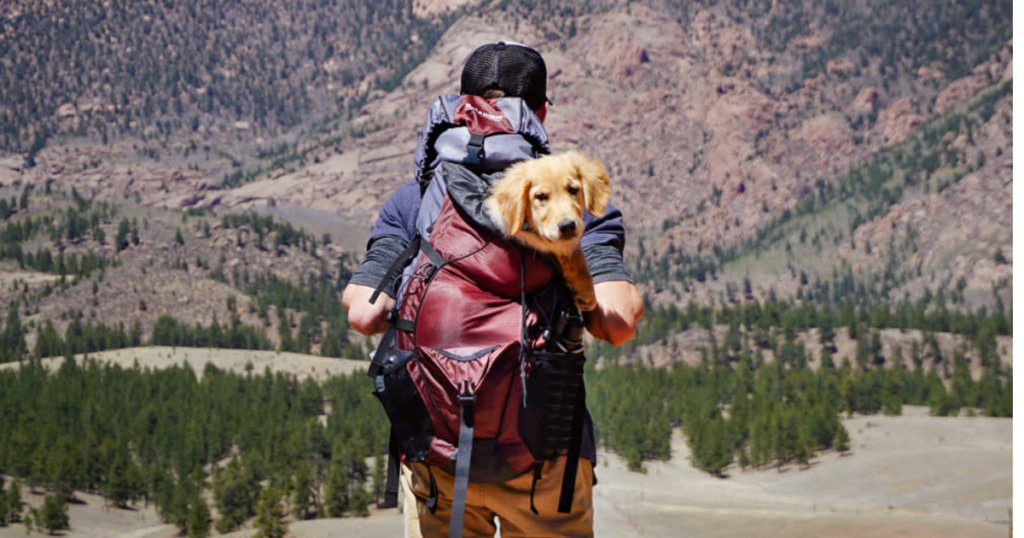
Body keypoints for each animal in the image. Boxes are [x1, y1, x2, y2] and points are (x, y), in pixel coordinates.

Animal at [481, 150, 606, 309]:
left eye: (573, 190)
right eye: (540, 196)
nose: (567, 226)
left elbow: (574, 252)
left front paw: (585, 291)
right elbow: (555, 246)